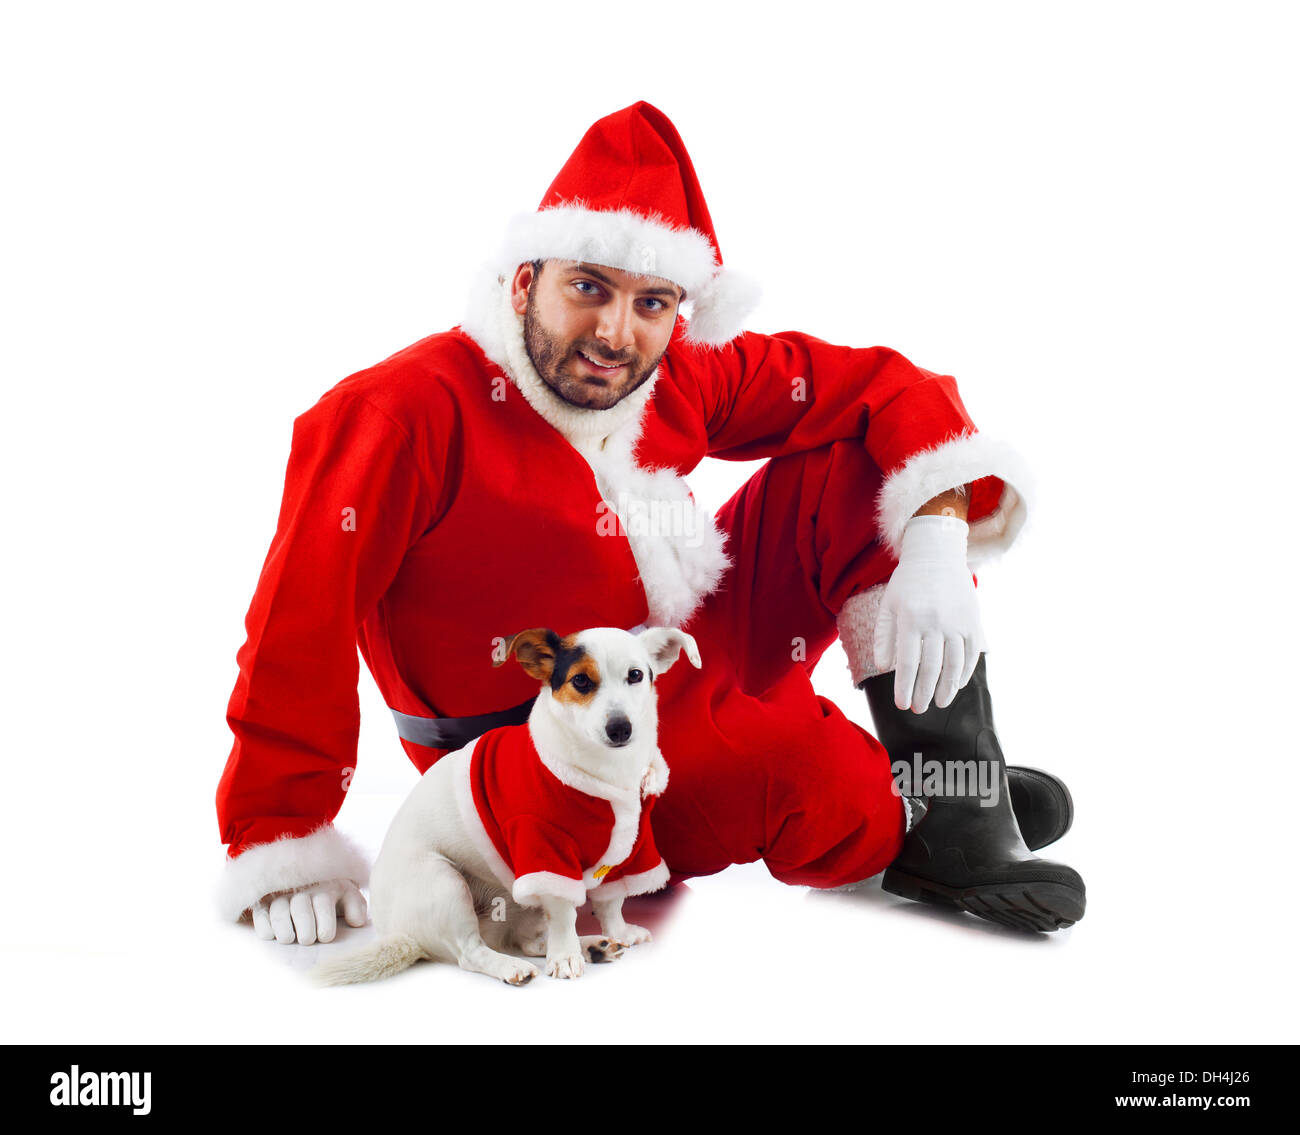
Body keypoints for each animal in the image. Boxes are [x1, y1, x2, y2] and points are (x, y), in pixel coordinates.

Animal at [313, 618, 702, 982]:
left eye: (636, 675)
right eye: (580, 681)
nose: (620, 728)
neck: (606, 774)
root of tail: (399, 935)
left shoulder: (629, 851)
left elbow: (611, 902)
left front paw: (615, 932)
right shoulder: (543, 850)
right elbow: (564, 912)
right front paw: (566, 957)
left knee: (528, 940)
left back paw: (592, 945)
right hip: (443, 882)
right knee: (472, 953)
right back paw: (514, 966)